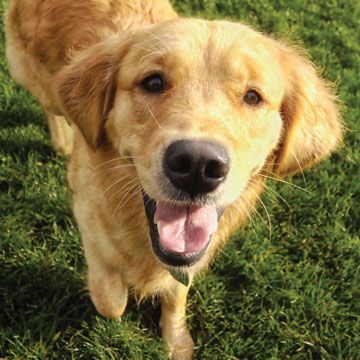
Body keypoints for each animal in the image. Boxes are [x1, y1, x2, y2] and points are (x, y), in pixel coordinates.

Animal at [5, 0, 344, 358]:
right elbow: (111, 301)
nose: (198, 166)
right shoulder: (88, 216)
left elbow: (178, 289)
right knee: (50, 105)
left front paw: (176, 337)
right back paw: (63, 141)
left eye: (252, 96)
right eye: (153, 82)